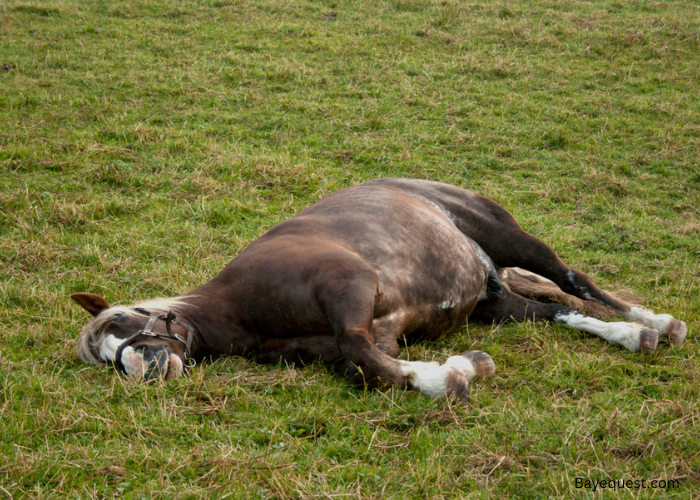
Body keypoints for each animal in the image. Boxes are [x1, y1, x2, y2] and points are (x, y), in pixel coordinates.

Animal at [72, 178, 688, 403]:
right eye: (104, 358)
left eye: (125, 320)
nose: (141, 368)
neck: (242, 307)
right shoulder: (374, 335)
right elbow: (367, 367)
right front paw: (461, 367)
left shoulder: (350, 288)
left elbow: (359, 349)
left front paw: (451, 377)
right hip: (495, 302)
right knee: (556, 309)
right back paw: (629, 334)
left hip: (511, 240)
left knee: (573, 280)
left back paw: (655, 322)